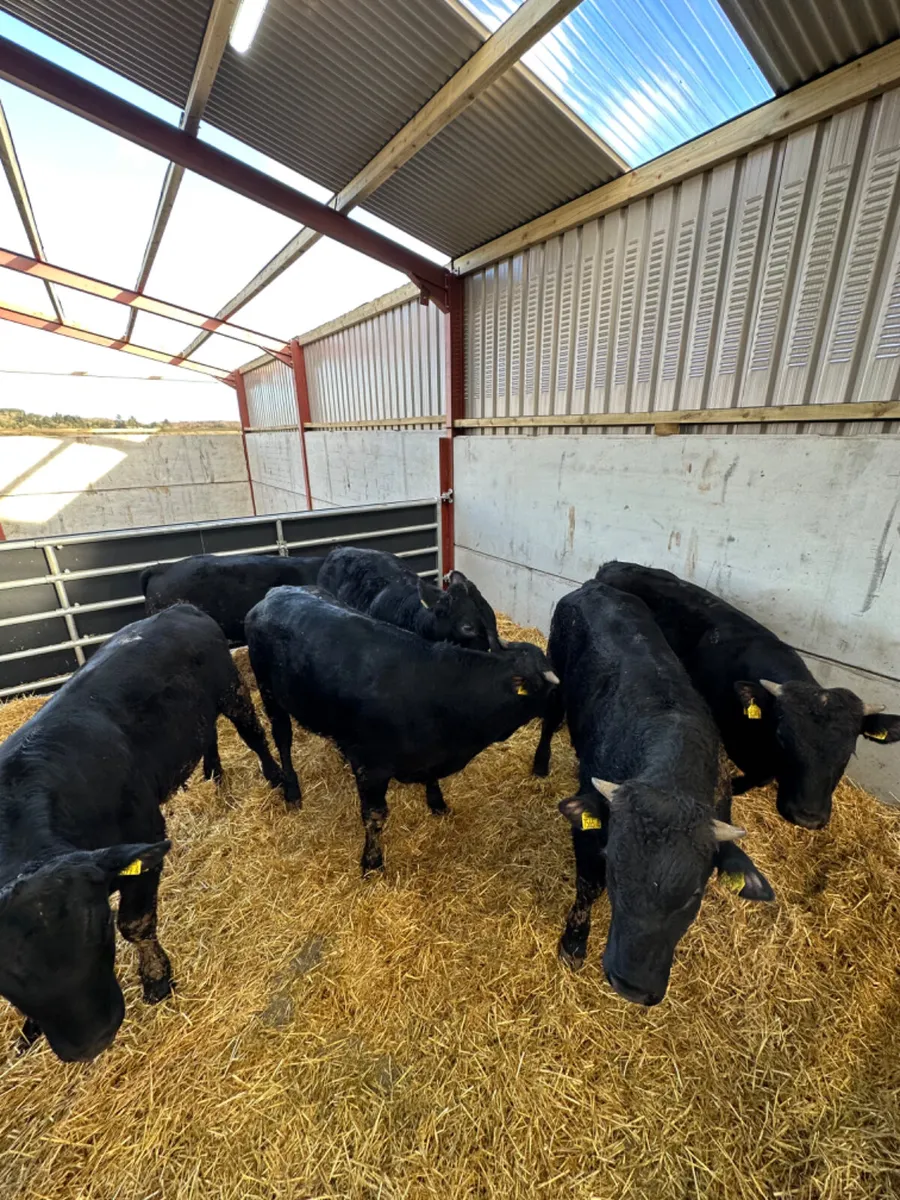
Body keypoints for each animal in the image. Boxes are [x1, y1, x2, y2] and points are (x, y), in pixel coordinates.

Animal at [0, 604, 283, 1062]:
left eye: (100, 927)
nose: (91, 1040)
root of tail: (178, 609)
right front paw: (28, 1030)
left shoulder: (145, 835)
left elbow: (136, 922)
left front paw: (156, 979)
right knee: (209, 736)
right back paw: (214, 776)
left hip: (232, 691)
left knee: (253, 734)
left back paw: (274, 775)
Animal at [245, 586, 558, 875]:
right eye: (548, 688)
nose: (559, 712)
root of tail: (277, 592)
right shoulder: (372, 767)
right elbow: (374, 815)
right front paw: (372, 863)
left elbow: (431, 781)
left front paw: (437, 803)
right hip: (269, 693)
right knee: (282, 738)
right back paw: (291, 790)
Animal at [531, 580, 772, 1007]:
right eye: (615, 868)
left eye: (694, 892)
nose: (632, 985)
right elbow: (587, 887)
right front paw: (573, 944)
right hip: (556, 678)